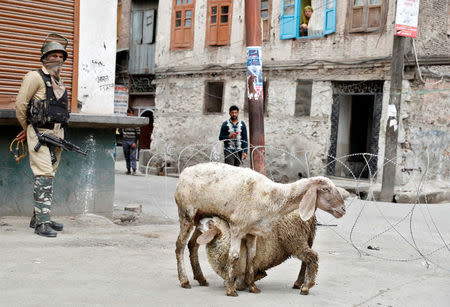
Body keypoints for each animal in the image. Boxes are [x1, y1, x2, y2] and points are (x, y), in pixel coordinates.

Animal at [174, 162, 346, 298]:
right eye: (325, 189)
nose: (343, 210)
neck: (272, 197)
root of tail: (184, 172)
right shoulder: (237, 227)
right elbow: (234, 256)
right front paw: (231, 289)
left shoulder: (252, 232)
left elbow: (251, 256)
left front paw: (252, 287)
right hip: (186, 213)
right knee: (180, 245)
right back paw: (184, 280)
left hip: (200, 216)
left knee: (193, 244)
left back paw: (201, 278)